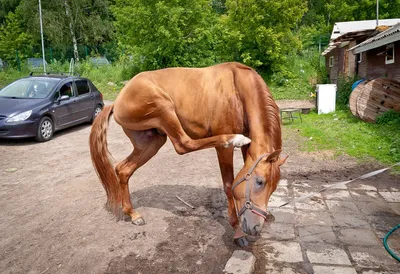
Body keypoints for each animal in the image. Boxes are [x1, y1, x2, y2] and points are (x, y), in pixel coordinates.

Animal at [89, 62, 286, 246]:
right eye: (260, 182)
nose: (255, 228)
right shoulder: (224, 150)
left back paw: (133, 214)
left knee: (123, 170)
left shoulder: (249, 147)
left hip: (151, 141)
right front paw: (237, 231)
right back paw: (235, 138)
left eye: (274, 187)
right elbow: (229, 185)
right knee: (183, 144)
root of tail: (117, 101)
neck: (237, 89)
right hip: (163, 107)